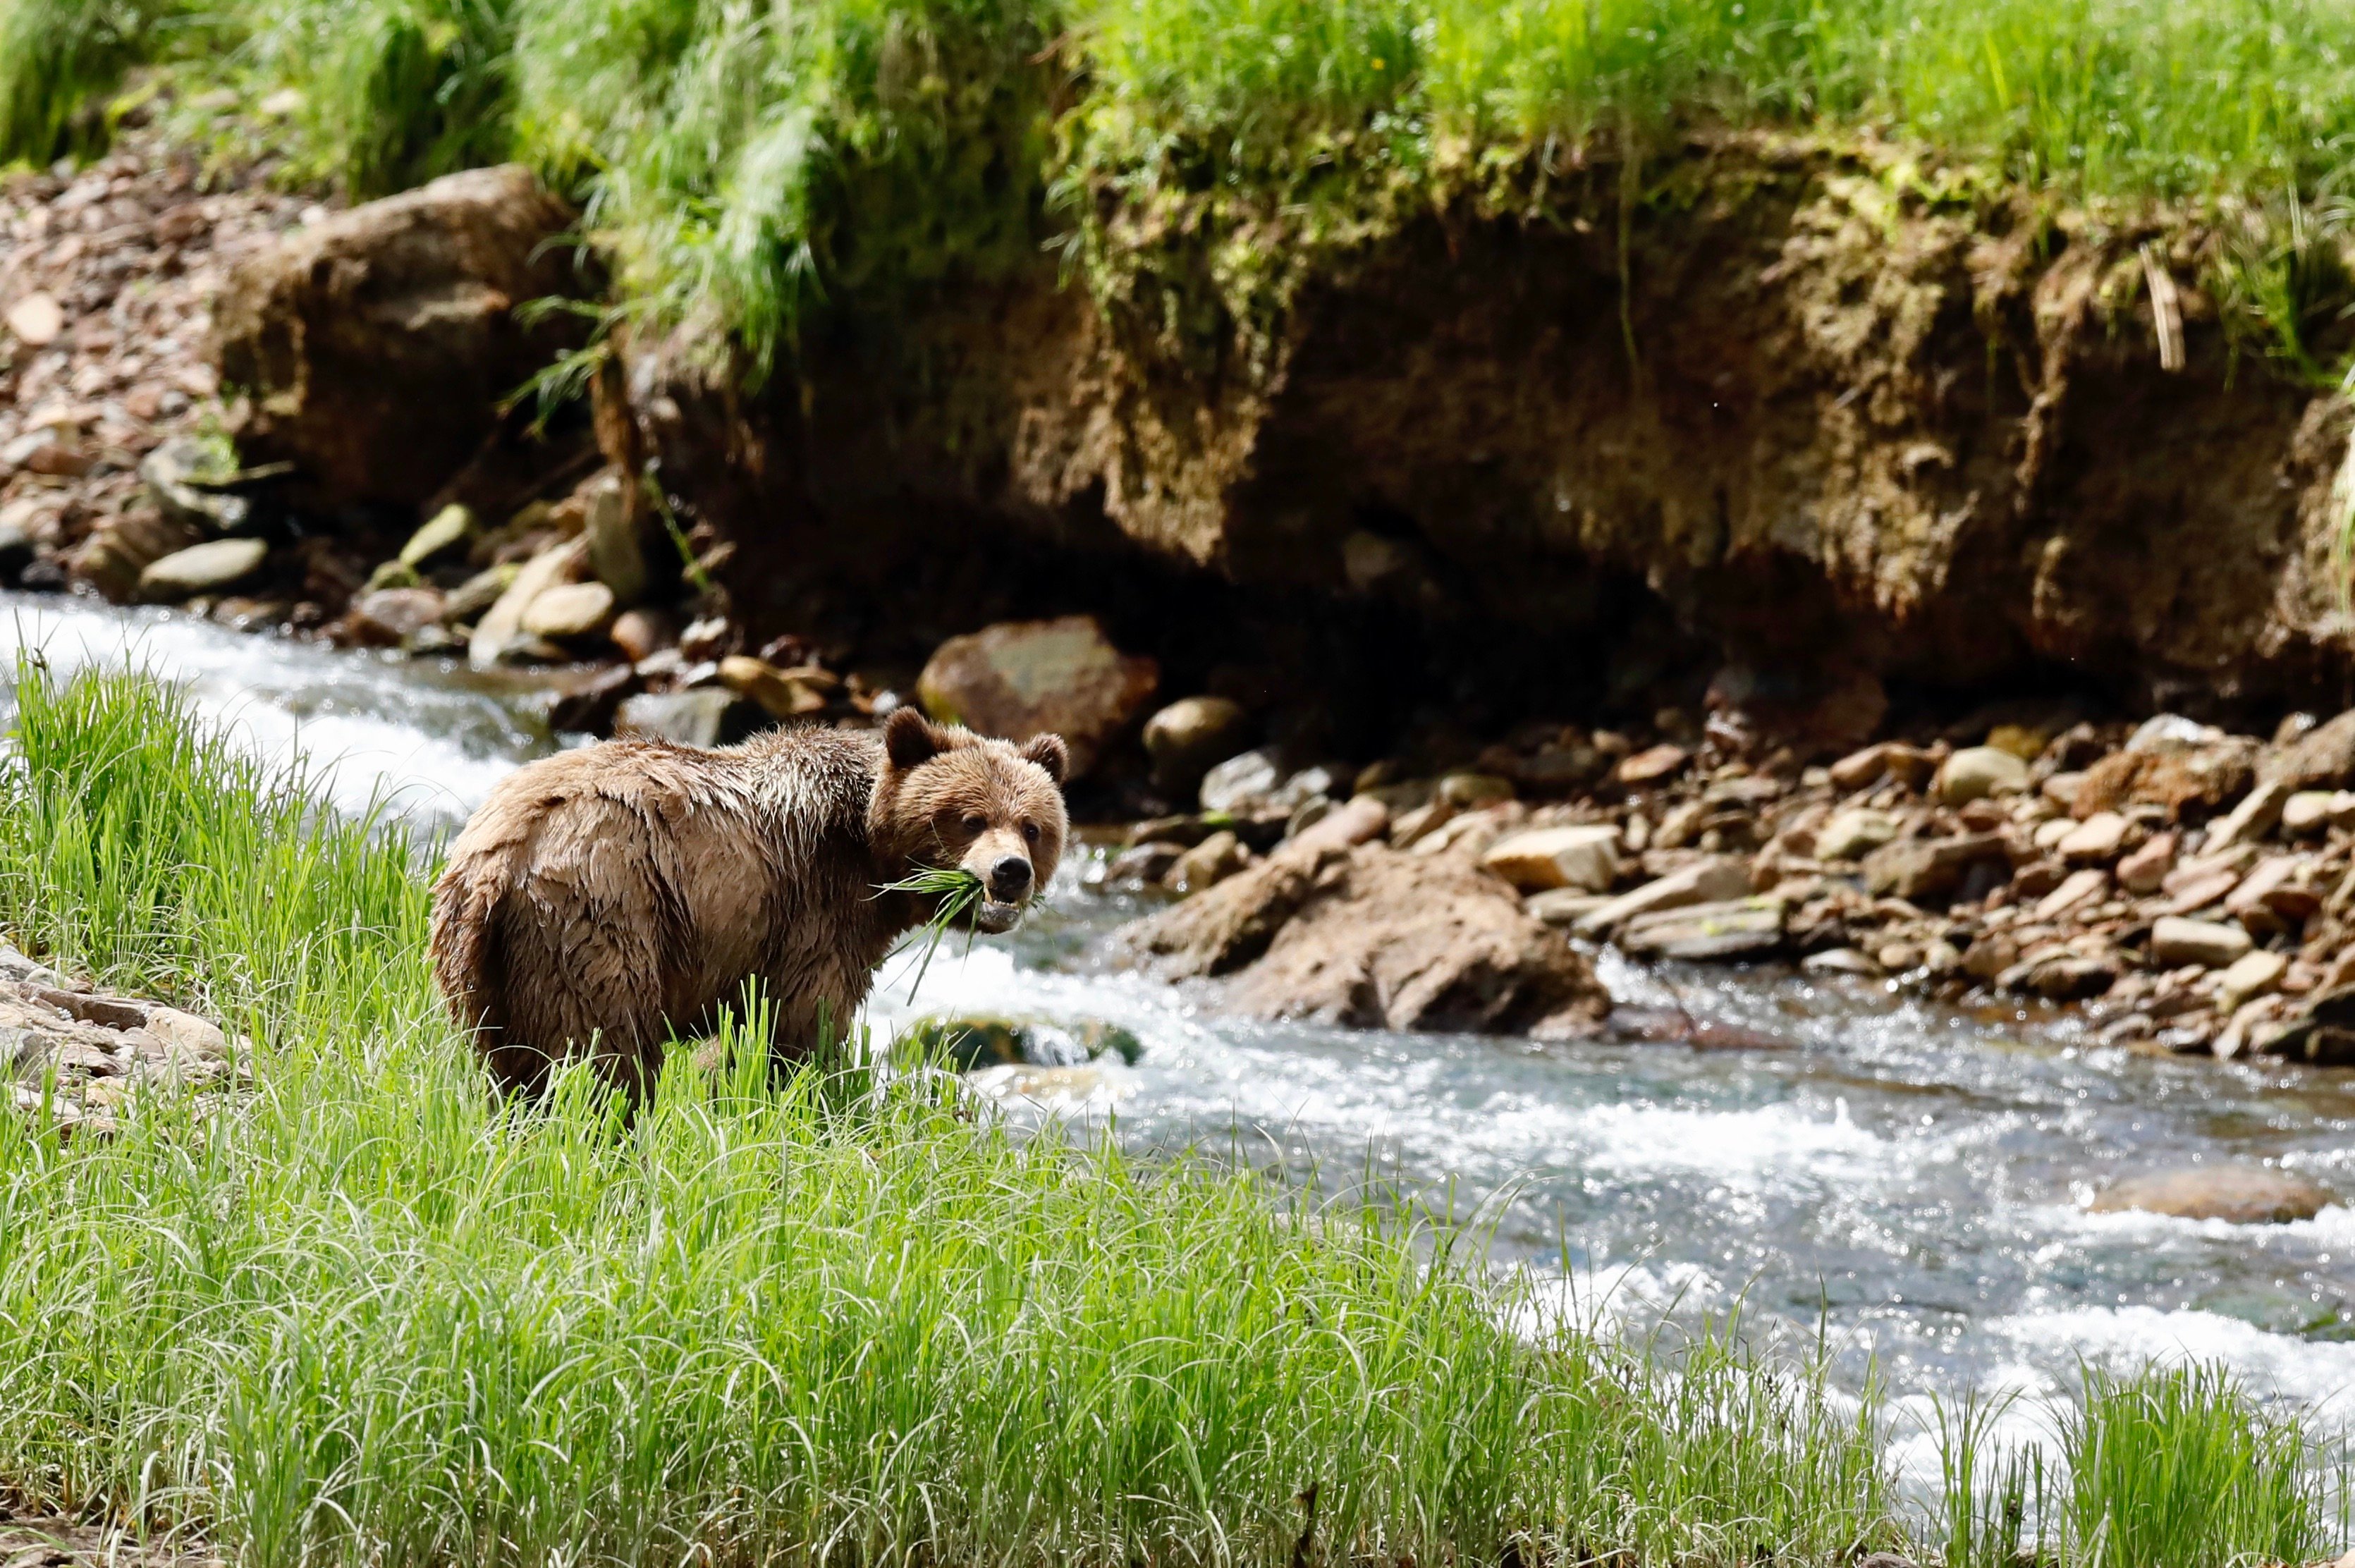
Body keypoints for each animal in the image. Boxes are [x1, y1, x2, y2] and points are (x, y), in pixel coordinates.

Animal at [427, 706, 1069, 1093]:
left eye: (1033, 826)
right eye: (969, 819)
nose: (1011, 872)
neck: (865, 849)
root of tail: (495, 857)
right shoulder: (814, 906)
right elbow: (803, 1022)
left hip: (485, 965)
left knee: (509, 1064)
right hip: (598, 917)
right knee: (603, 1054)